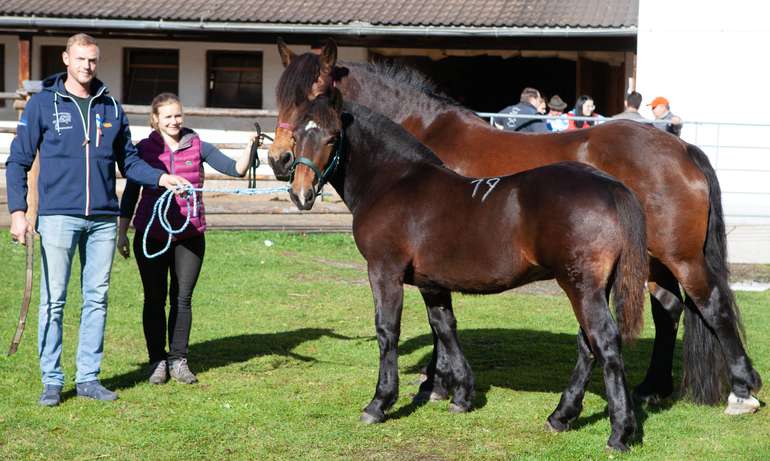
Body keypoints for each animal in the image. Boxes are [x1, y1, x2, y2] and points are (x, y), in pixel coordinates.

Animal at [268, 40, 760, 414]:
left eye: (315, 93)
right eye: (281, 98)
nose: (279, 161)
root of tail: (682, 147)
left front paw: (432, 385)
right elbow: (441, 323)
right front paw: (444, 386)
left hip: (680, 257)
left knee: (712, 304)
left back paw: (741, 390)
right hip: (651, 261)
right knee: (669, 309)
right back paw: (652, 388)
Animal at [288, 92, 648, 450]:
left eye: (332, 137)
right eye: (295, 134)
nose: (300, 193)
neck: (395, 182)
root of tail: (610, 186)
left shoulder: (384, 271)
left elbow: (387, 331)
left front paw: (379, 403)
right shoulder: (432, 283)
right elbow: (445, 328)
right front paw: (460, 396)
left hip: (581, 286)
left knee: (604, 342)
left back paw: (618, 433)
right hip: (593, 287)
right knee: (588, 344)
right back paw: (561, 417)